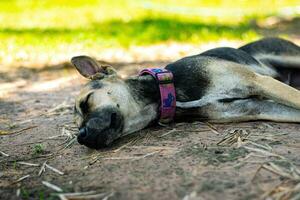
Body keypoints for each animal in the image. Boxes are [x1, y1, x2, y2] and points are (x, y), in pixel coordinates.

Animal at [72, 38, 300, 149]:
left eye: (86, 102)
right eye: (77, 123)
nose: (80, 137)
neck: (168, 93)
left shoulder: (258, 82)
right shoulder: (256, 107)